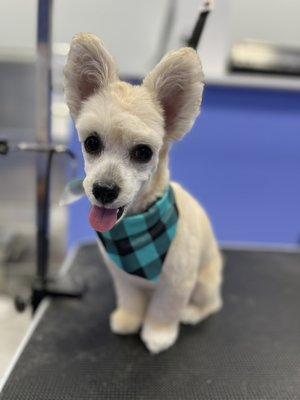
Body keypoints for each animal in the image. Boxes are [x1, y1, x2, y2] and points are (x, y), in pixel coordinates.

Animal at [63, 33, 223, 354]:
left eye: (143, 152)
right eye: (91, 143)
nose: (104, 189)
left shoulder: (177, 282)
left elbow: (164, 309)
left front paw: (158, 334)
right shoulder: (124, 278)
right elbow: (130, 300)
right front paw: (129, 319)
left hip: (203, 284)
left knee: (212, 304)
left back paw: (192, 312)